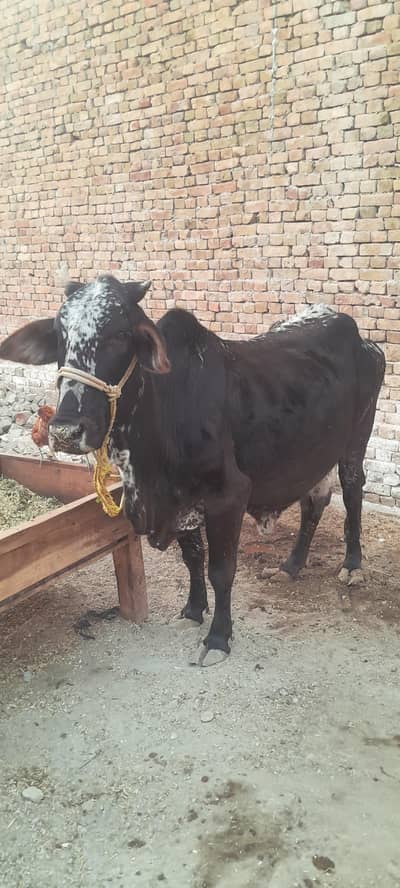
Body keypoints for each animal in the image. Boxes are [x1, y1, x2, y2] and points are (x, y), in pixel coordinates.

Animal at [0, 276, 385, 665]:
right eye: (59, 335)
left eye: (121, 334)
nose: (65, 430)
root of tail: (358, 335)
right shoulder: (181, 501)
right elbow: (192, 558)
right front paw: (193, 611)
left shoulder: (229, 495)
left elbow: (221, 571)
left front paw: (218, 637)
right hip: (313, 453)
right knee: (314, 502)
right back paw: (290, 566)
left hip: (356, 440)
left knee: (353, 489)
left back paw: (352, 565)